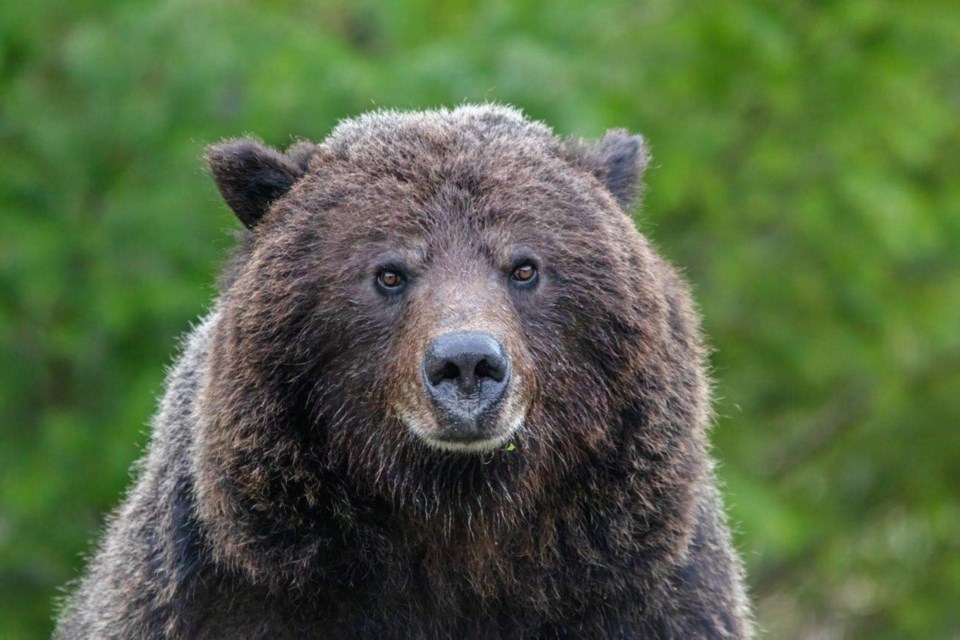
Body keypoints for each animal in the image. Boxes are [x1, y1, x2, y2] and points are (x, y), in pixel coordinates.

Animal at [56, 106, 752, 640]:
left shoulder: (641, 591)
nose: (467, 363)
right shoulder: (225, 593)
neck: (455, 527)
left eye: (524, 267)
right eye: (389, 272)